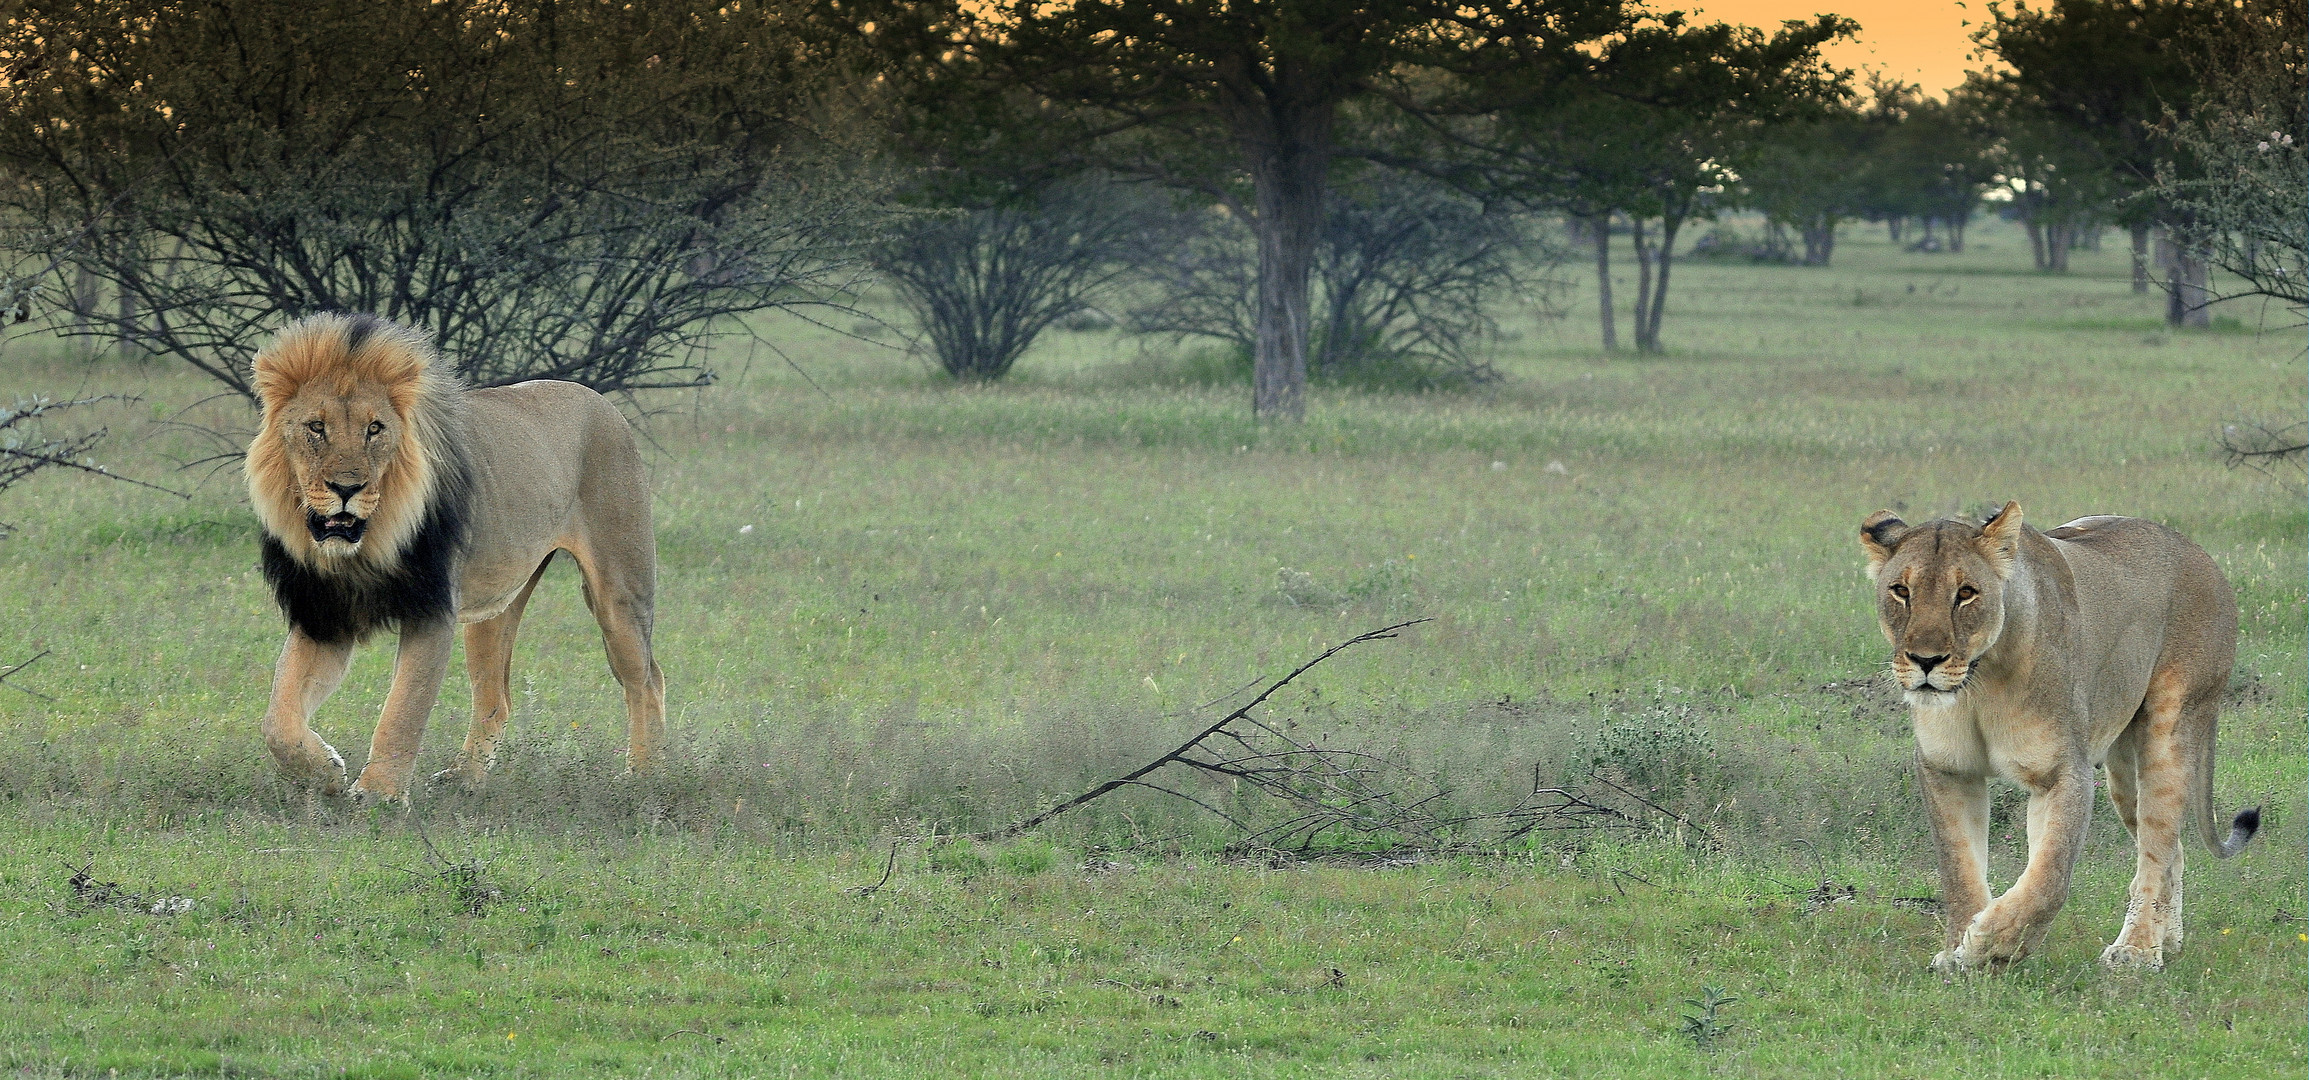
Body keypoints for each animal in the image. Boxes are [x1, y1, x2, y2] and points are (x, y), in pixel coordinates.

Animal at [249, 311, 664, 803]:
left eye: (375, 429)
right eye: (316, 427)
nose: (346, 488)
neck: (365, 547)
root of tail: (598, 400)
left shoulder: (431, 612)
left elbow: (403, 710)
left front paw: (379, 795)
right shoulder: (324, 614)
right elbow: (278, 719)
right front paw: (326, 773)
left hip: (619, 591)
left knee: (646, 680)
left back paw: (644, 776)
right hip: (493, 608)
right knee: (495, 696)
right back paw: (465, 779)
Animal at [1856, 503, 2253, 973]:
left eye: (1966, 593)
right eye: (1901, 591)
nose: (1926, 660)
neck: (1979, 684)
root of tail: (2201, 554)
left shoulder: (2063, 773)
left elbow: (2048, 878)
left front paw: (1992, 944)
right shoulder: (1947, 770)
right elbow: (1959, 868)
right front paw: (1957, 953)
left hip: (2171, 730)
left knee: (2156, 850)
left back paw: (2136, 951)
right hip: (2123, 772)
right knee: (2173, 851)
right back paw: (2165, 942)